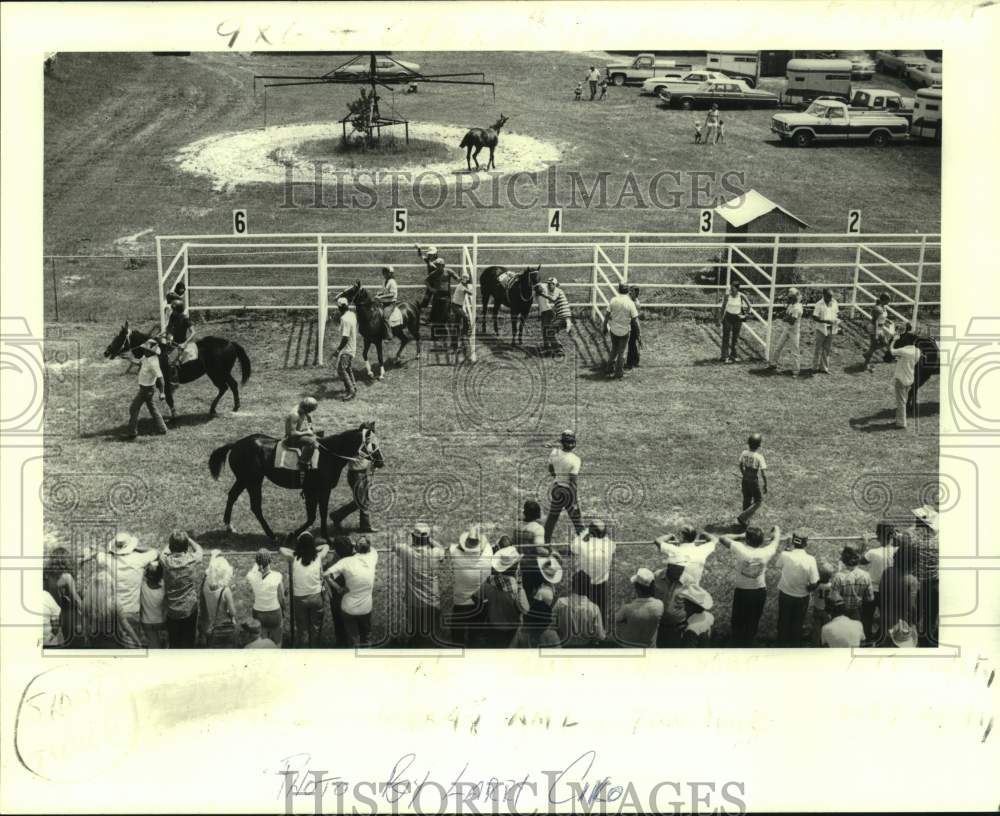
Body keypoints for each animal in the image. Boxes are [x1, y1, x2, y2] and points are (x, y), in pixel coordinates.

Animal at [103, 322, 252, 418]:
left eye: (119, 338)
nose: (106, 352)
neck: (154, 351)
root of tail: (230, 343)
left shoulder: (166, 381)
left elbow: (169, 399)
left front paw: (173, 416)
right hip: (221, 373)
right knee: (231, 385)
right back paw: (230, 407)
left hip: (217, 373)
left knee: (225, 387)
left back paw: (219, 408)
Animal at [209, 420, 384, 540]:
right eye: (373, 444)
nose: (381, 462)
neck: (328, 455)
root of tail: (236, 444)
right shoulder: (317, 491)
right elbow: (315, 515)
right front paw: (298, 535)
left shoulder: (317, 491)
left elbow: (317, 514)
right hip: (253, 481)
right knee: (255, 507)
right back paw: (271, 535)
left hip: (243, 479)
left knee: (232, 496)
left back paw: (229, 527)